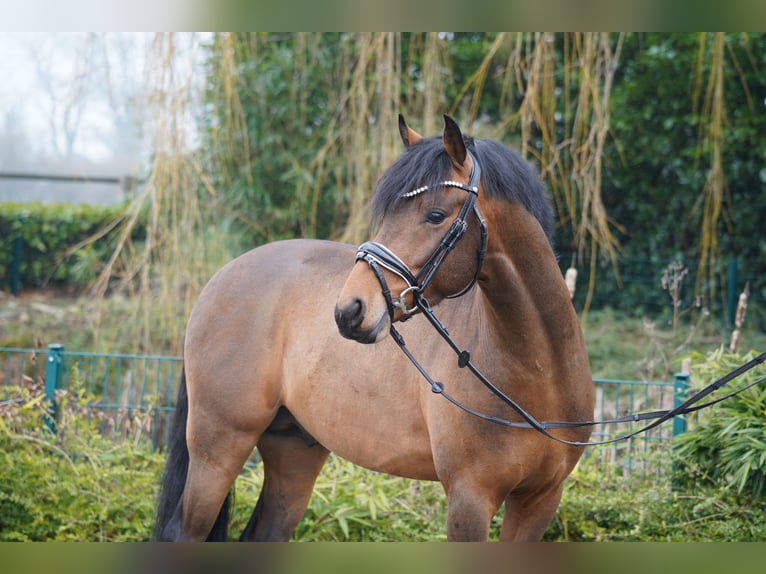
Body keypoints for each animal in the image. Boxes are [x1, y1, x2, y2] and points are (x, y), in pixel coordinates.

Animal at [154, 115, 592, 544]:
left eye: (435, 215)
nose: (350, 310)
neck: (536, 370)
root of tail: (219, 280)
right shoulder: (469, 499)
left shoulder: (540, 501)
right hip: (218, 447)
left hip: (293, 451)